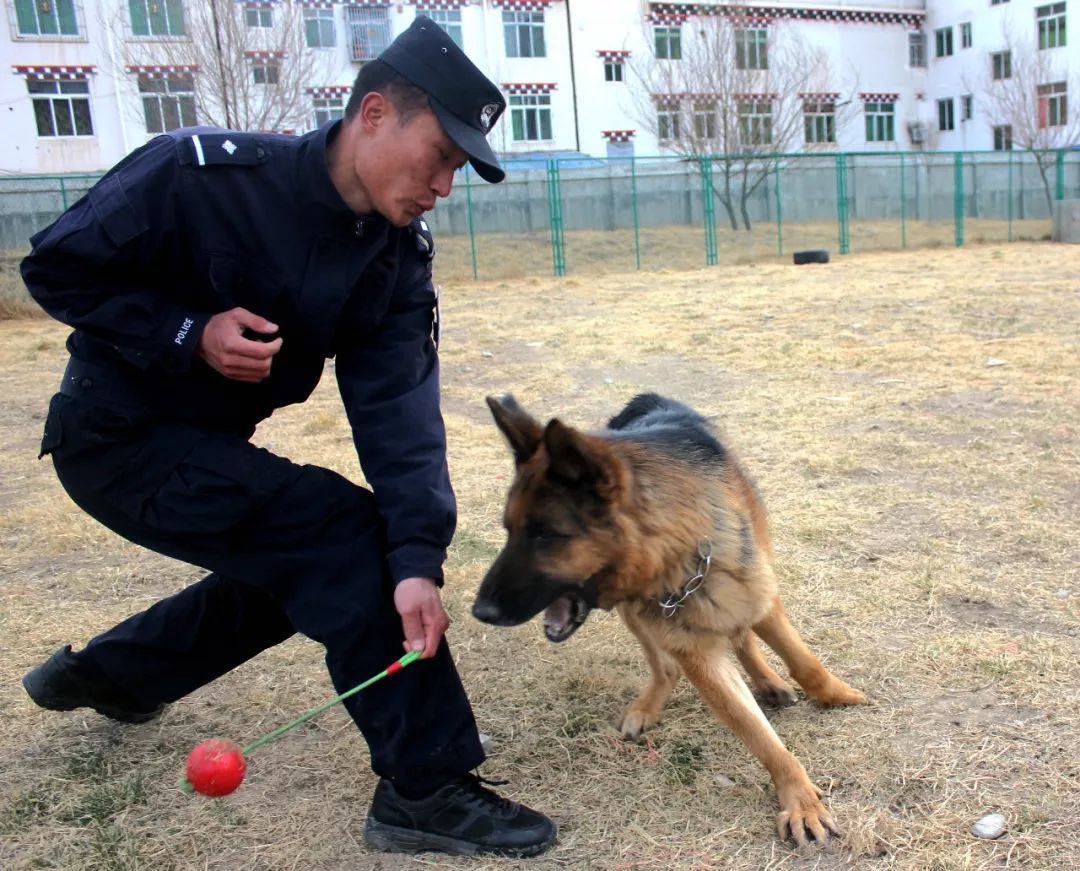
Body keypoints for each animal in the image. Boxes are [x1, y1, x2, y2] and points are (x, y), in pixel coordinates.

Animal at [473, 393, 868, 847]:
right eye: (509, 529)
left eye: (544, 535)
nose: (479, 611)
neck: (678, 553)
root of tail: (647, 398)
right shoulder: (694, 651)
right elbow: (755, 732)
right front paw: (799, 798)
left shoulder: (759, 594)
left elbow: (804, 661)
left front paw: (835, 695)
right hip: (635, 613)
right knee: (665, 667)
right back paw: (650, 704)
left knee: (743, 635)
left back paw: (768, 681)